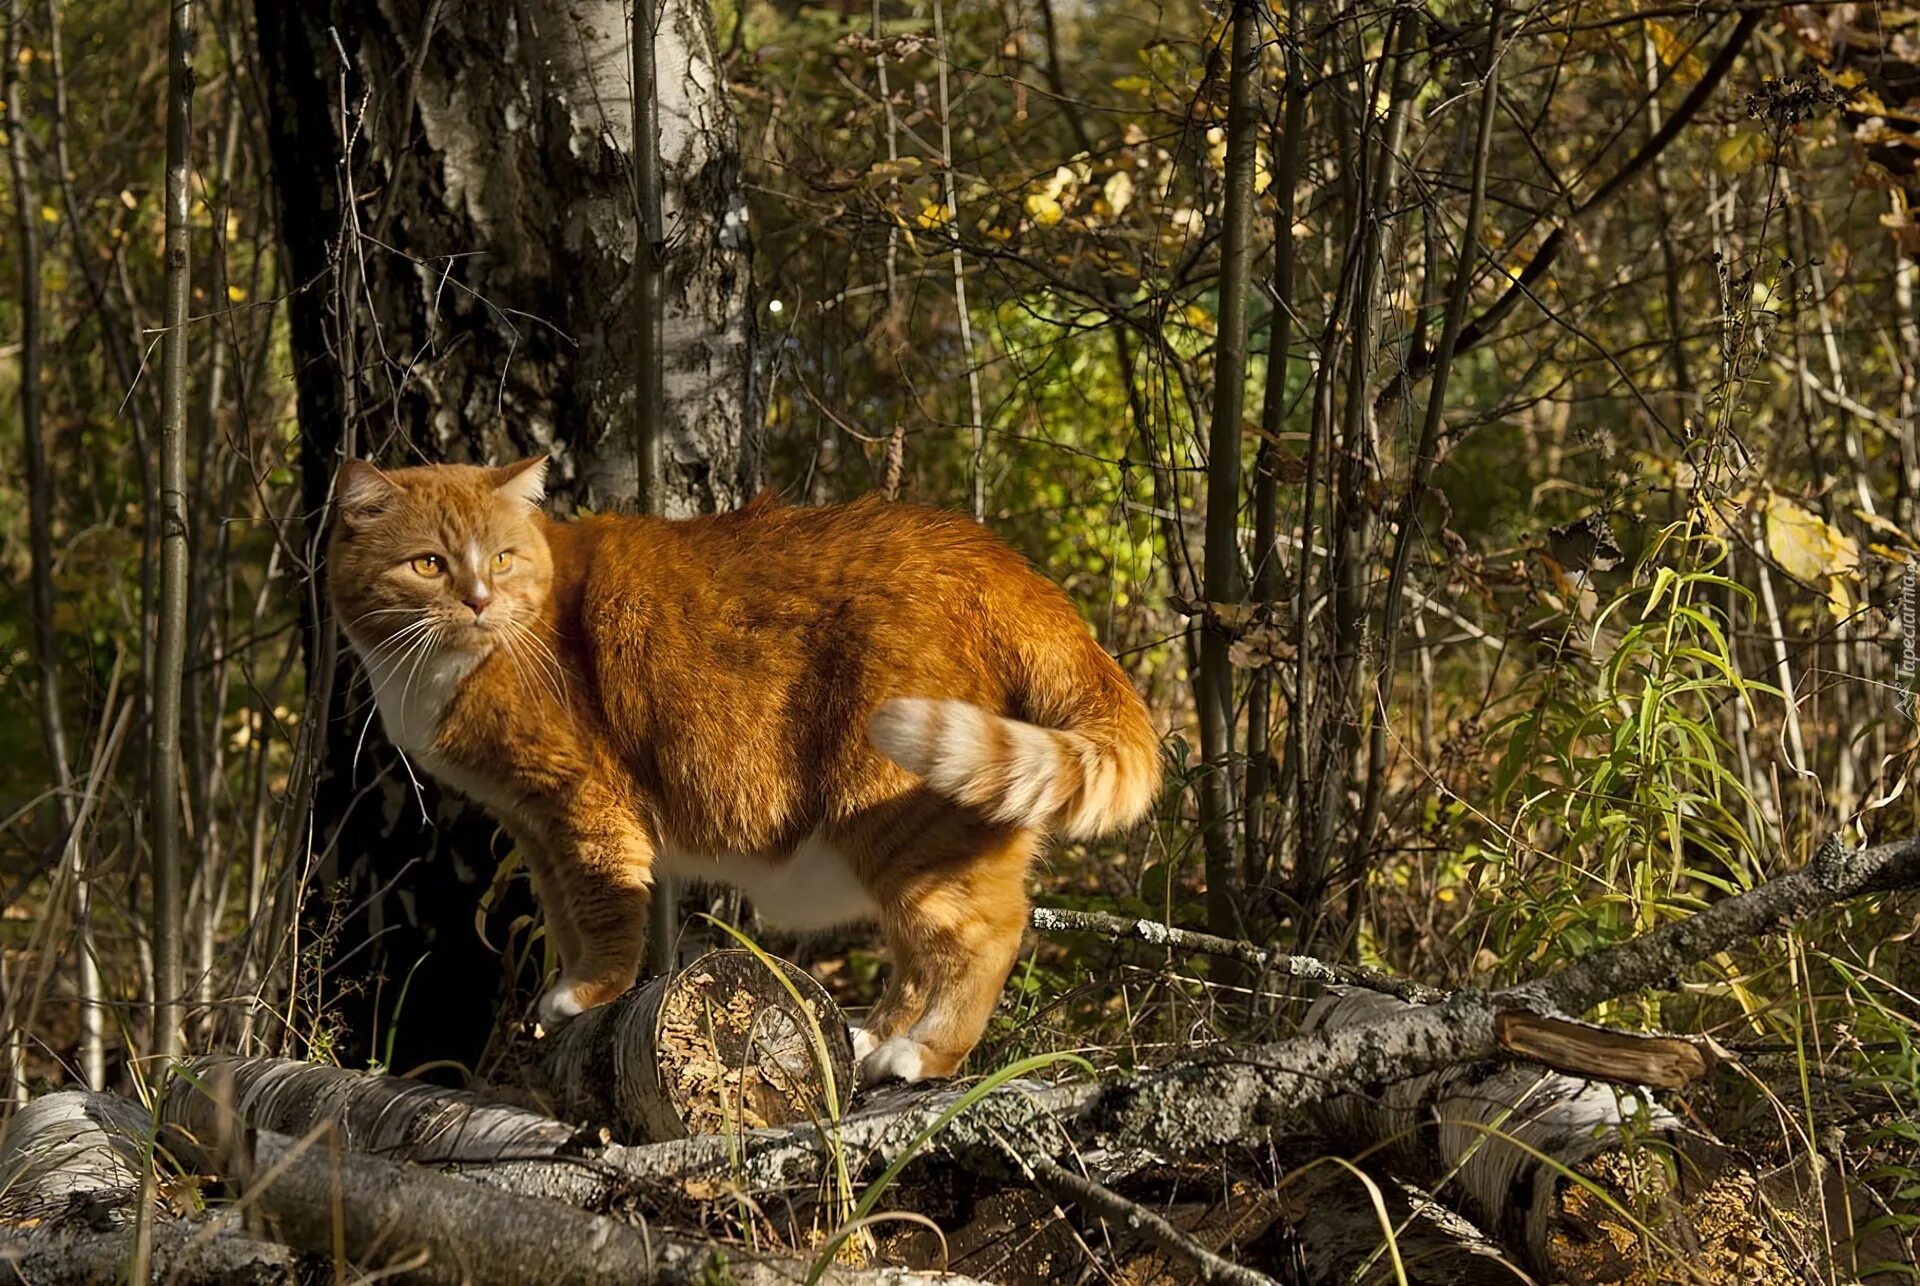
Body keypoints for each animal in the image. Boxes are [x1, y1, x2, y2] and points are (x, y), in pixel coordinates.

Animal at [326, 458, 1152, 1082]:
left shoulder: (583, 806)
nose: (477, 600)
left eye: (500, 558)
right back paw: (874, 1039)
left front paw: (591, 991)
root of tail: (1002, 563)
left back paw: (922, 1054)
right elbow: (562, 916)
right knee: (922, 949)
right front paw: (568, 989)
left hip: (903, 811)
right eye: (428, 564)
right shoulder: (532, 825)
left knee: (986, 934)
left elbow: (603, 909)